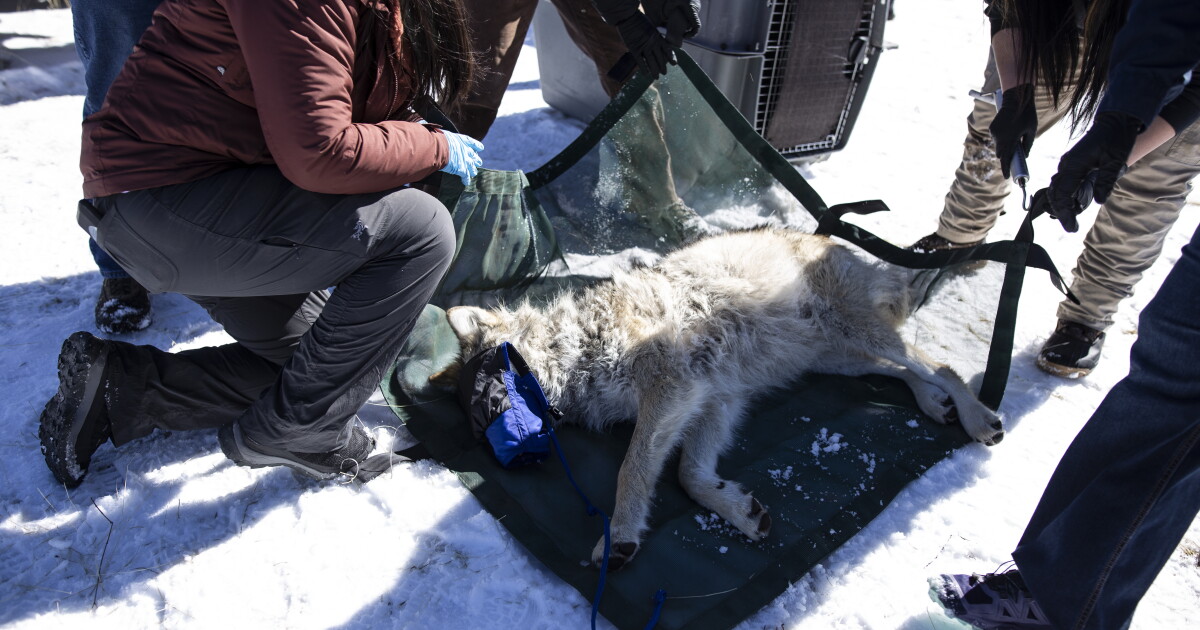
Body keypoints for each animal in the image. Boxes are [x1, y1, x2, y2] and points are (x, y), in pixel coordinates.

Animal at [439, 227, 1004, 571]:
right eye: (475, 420)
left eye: (488, 390)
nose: (500, 451)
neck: (580, 349)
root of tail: (831, 241)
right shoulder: (714, 399)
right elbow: (690, 475)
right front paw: (738, 511)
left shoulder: (673, 388)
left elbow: (633, 469)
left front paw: (618, 536)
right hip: (837, 358)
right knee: (904, 370)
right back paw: (934, 404)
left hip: (855, 335)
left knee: (937, 364)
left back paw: (977, 416)